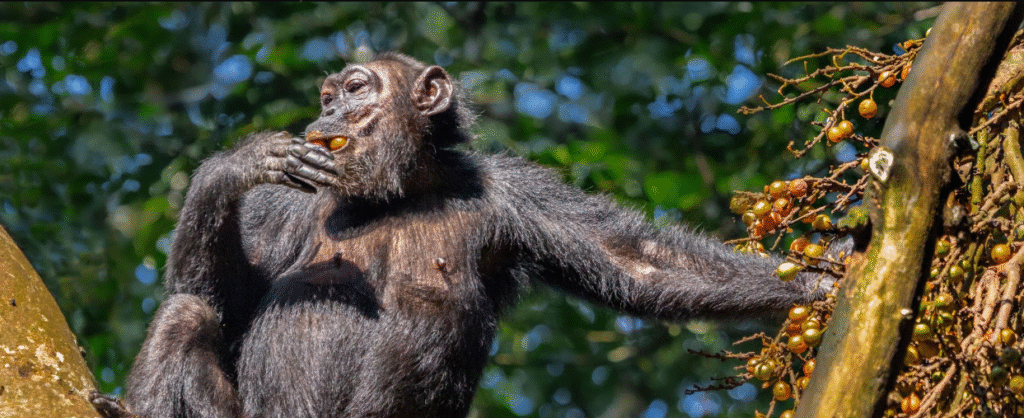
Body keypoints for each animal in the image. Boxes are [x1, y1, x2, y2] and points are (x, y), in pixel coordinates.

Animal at [92, 52, 836, 418]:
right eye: (329, 95)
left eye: (356, 88)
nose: (328, 111)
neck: (401, 190)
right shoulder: (281, 209)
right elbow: (220, 298)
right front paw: (237, 163)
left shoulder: (516, 194)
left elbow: (639, 262)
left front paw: (823, 280)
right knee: (186, 315)